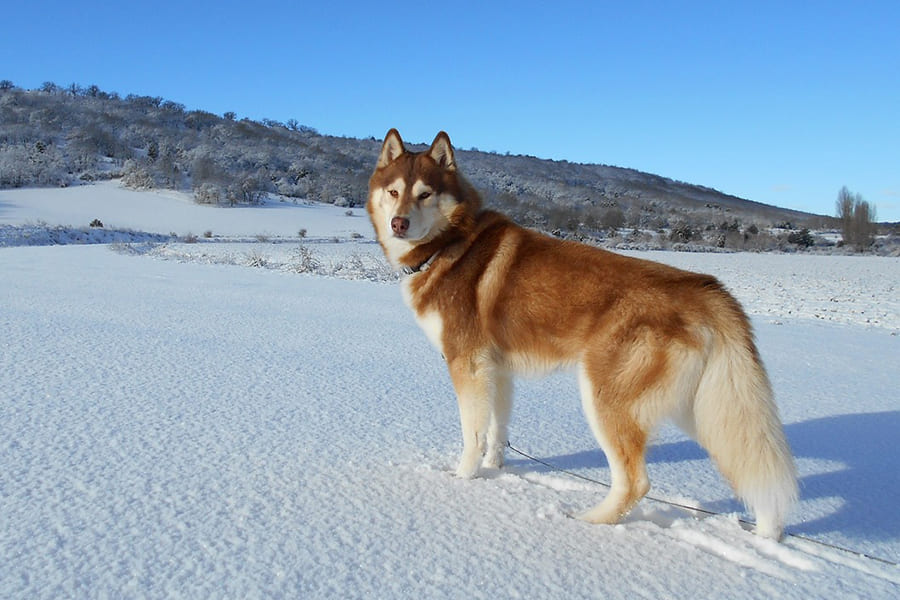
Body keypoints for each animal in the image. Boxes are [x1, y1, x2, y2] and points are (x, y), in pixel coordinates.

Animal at [364, 127, 796, 540]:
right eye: (394, 191)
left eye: (425, 194)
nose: (399, 223)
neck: (450, 243)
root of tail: (704, 288)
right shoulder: (496, 370)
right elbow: (496, 430)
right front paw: (495, 469)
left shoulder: (466, 365)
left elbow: (472, 434)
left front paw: (462, 479)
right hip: (704, 408)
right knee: (750, 461)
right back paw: (768, 533)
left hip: (605, 399)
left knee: (636, 482)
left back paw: (588, 521)